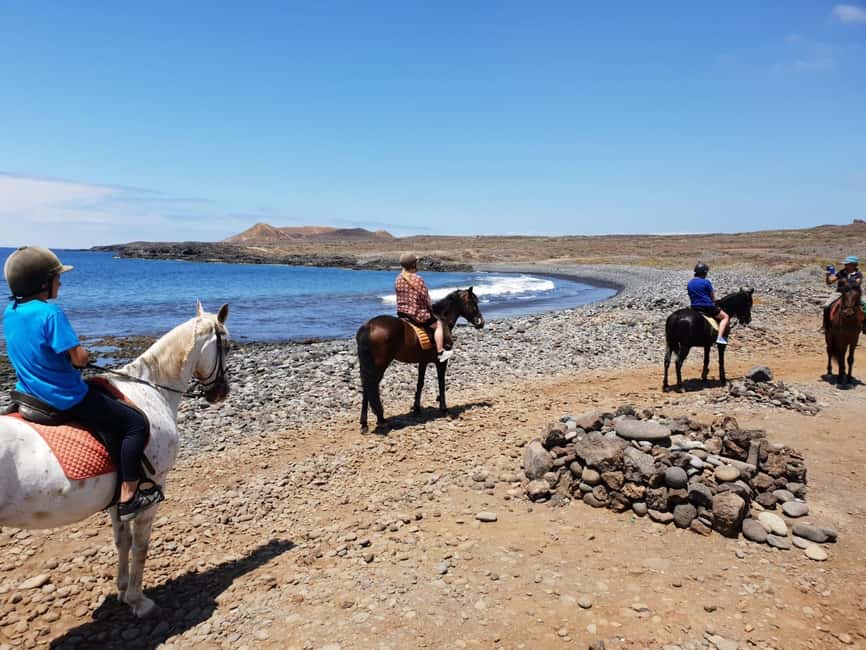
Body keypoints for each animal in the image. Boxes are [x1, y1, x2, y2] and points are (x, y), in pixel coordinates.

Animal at [0, 302, 230, 618]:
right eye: (228, 346)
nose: (222, 393)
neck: (151, 389)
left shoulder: (119, 494)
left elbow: (123, 541)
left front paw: (122, 590)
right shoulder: (152, 487)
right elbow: (140, 546)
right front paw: (138, 600)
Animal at [355, 288, 484, 432]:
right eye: (473, 302)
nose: (481, 322)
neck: (443, 320)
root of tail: (368, 326)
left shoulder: (423, 361)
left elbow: (420, 383)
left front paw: (417, 409)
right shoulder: (441, 362)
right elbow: (441, 383)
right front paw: (444, 409)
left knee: (367, 388)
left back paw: (365, 423)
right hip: (379, 366)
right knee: (371, 387)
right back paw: (380, 420)